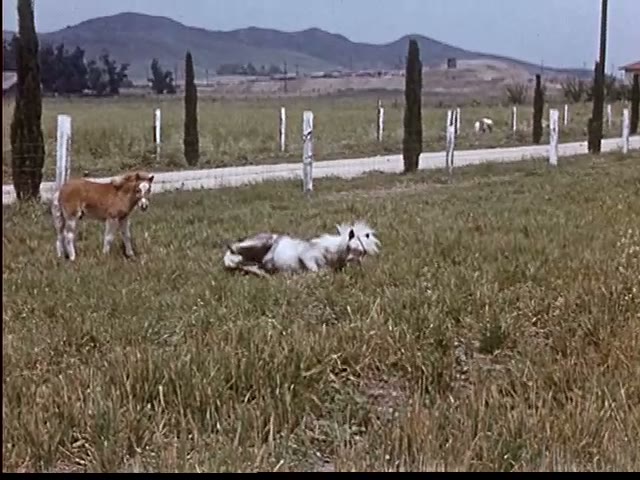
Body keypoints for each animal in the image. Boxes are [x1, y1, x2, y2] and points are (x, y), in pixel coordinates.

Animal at [223, 221, 381, 278]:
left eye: (363, 253)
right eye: (351, 247)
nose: (356, 268)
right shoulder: (307, 257)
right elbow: (317, 271)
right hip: (260, 242)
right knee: (234, 246)